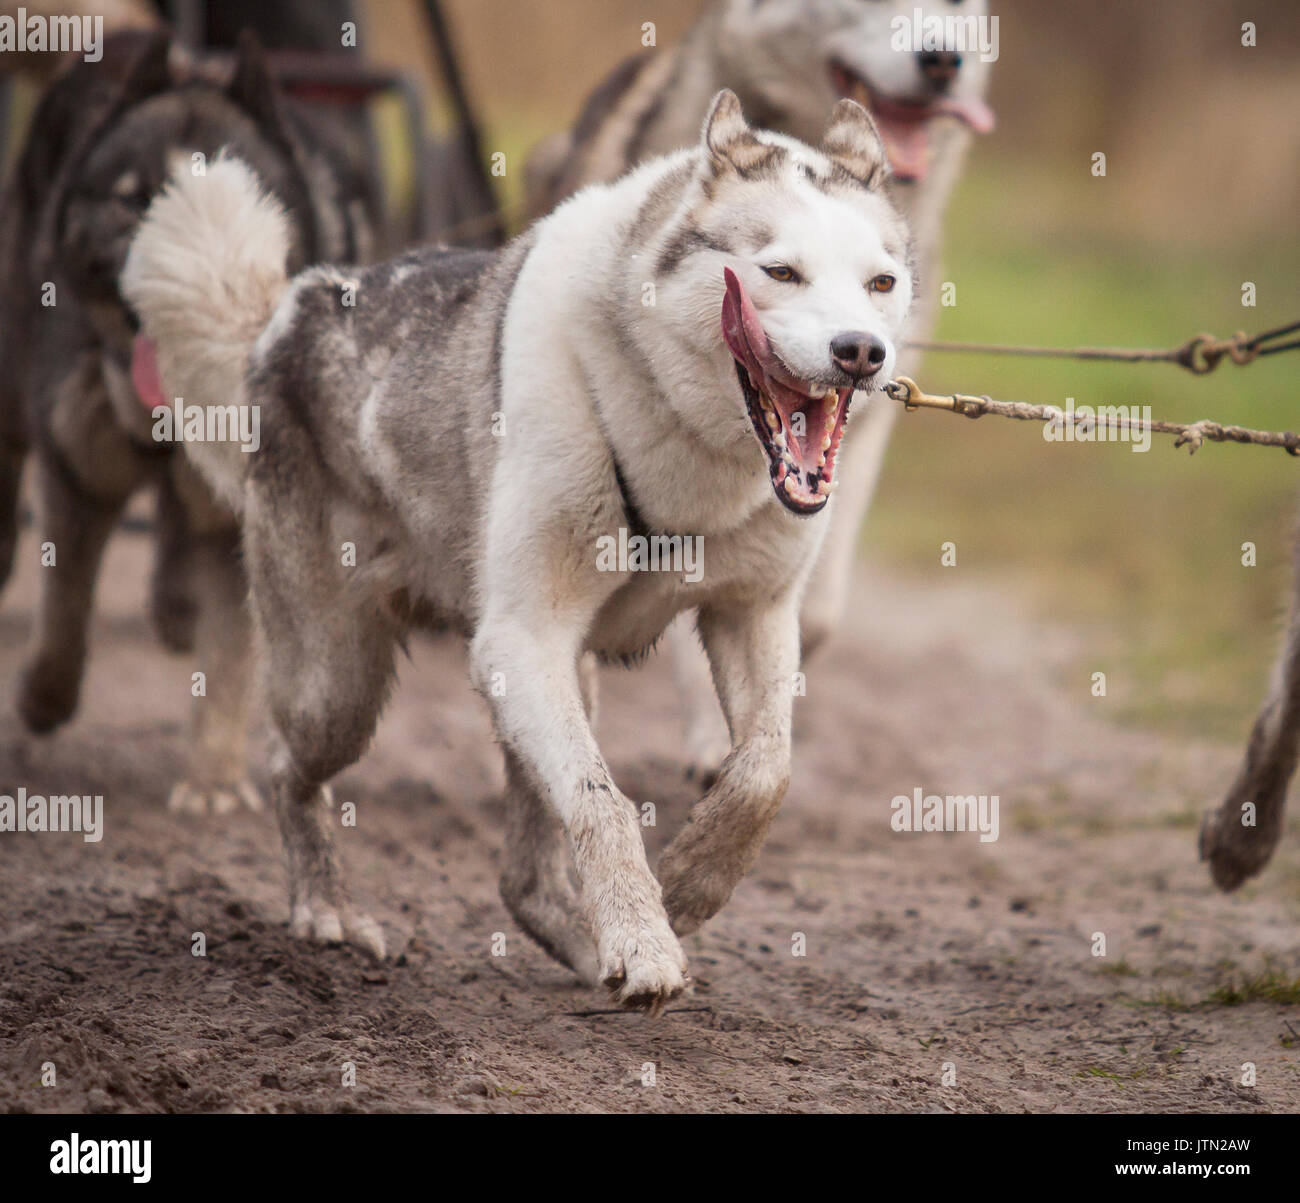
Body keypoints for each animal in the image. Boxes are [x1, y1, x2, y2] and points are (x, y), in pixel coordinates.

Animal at [122, 91, 915, 1004]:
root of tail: (291, 310)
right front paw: (646, 938)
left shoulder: (753, 615)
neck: (679, 437)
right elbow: (603, 801)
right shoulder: (524, 637)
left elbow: (764, 771)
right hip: (340, 687)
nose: (861, 352)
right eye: (781, 272)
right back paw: (326, 909)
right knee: (292, 766)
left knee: (525, 877)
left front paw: (688, 884)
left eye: (881, 282)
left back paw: (584, 944)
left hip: (552, 679)